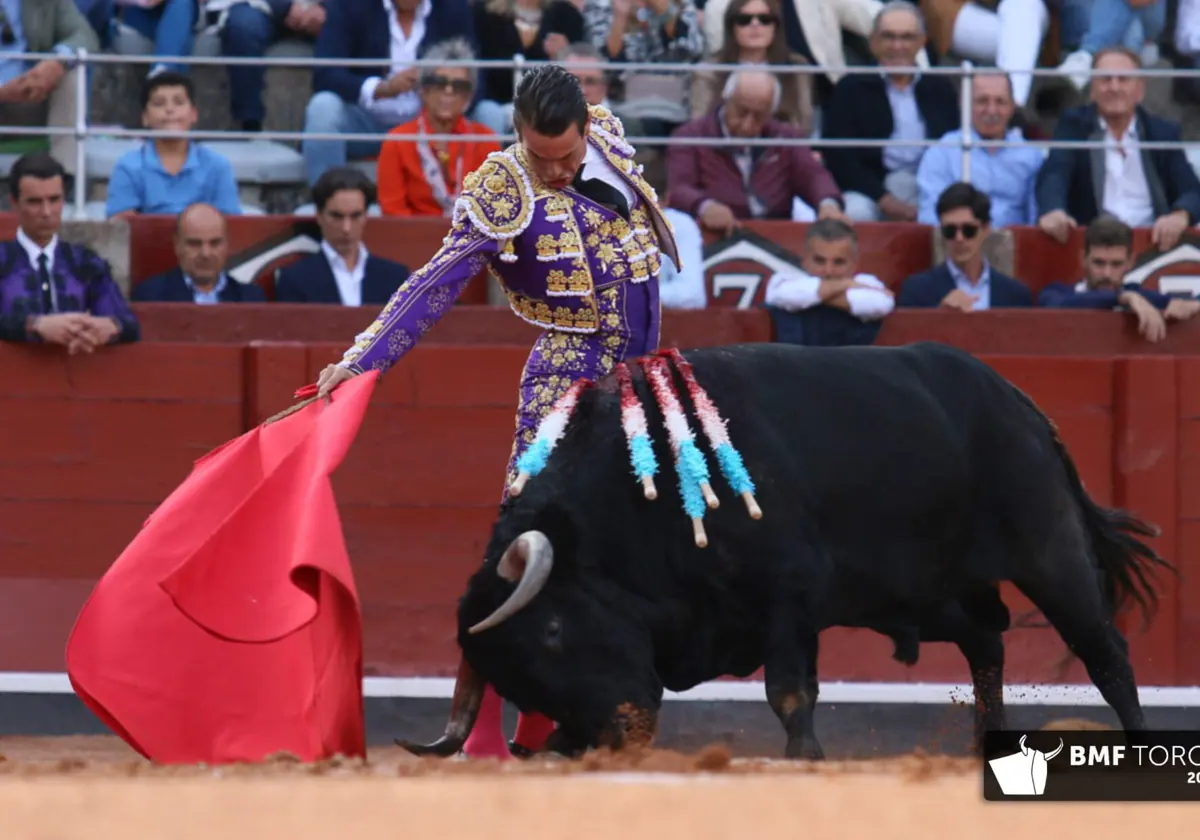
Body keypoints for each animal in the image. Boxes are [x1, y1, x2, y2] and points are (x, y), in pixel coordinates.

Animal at [396, 340, 1171, 763]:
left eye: (555, 630)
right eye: (517, 680)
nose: (623, 732)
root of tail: (1018, 400)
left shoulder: (789, 600)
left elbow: (790, 690)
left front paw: (806, 757)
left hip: (1049, 551)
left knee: (1105, 652)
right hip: (927, 592)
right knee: (987, 641)